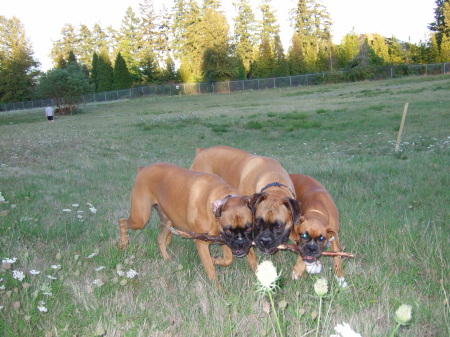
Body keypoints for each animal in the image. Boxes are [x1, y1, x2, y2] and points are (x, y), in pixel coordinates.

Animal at [118, 161, 258, 284]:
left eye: (249, 229)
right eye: (228, 230)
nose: (240, 244)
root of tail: (143, 169)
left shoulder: (224, 241)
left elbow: (228, 260)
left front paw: (216, 260)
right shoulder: (202, 243)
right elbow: (211, 270)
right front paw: (218, 290)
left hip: (168, 221)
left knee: (160, 239)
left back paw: (166, 258)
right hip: (140, 219)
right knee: (122, 221)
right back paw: (123, 243)